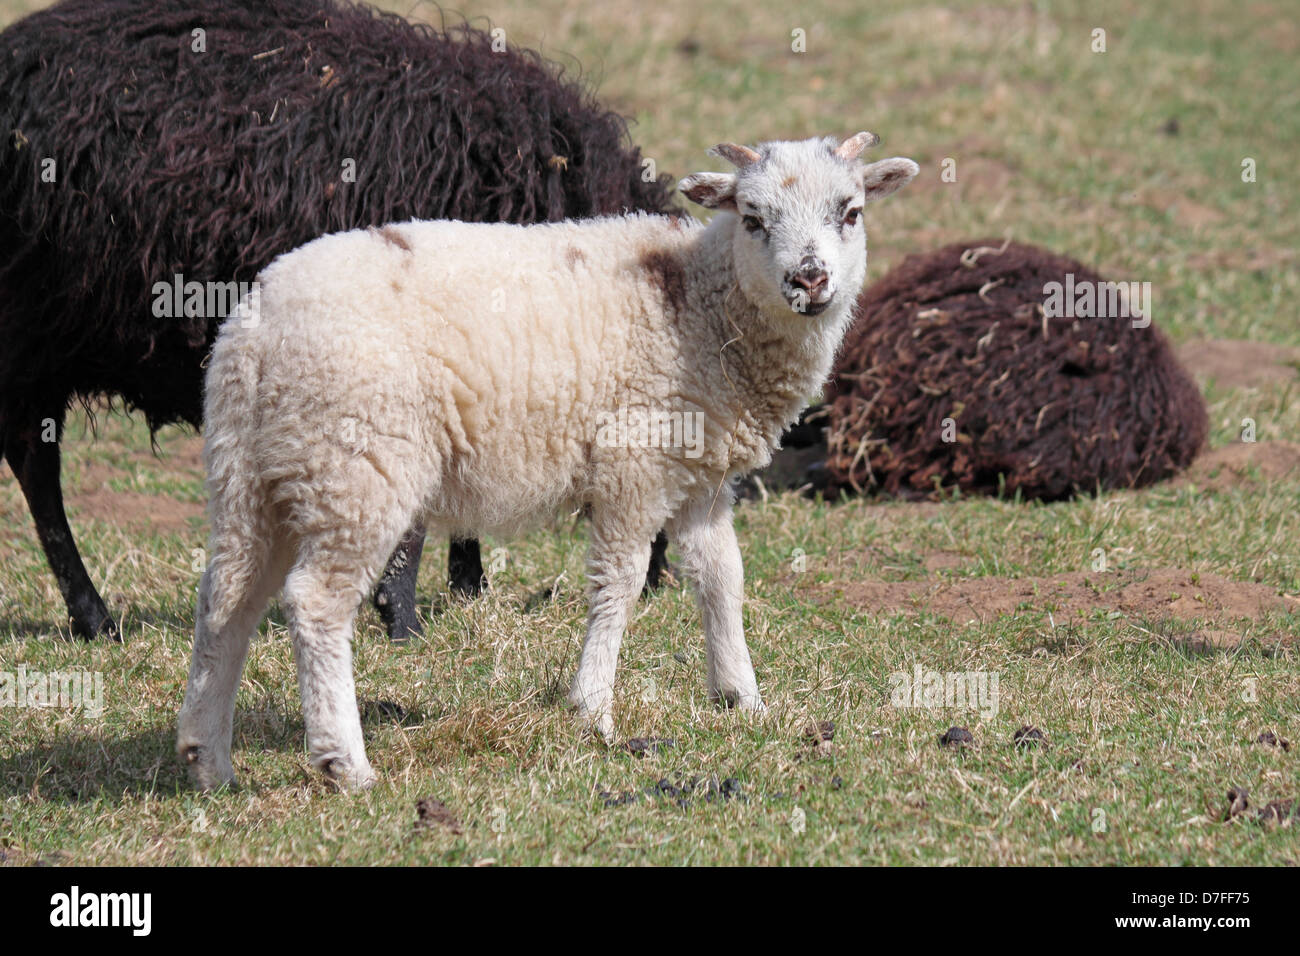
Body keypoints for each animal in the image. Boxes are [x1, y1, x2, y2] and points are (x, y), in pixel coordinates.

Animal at [0, 1, 670, 642]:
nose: (657, 582)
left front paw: (466, 585)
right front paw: (405, 618)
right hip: (31, 339)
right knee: (36, 467)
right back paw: (94, 618)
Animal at [178, 134, 920, 790]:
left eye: (850, 212)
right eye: (753, 218)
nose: (810, 280)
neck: (697, 303)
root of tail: (256, 326)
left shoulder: (700, 477)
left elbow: (722, 579)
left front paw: (742, 696)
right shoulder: (633, 464)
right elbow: (620, 583)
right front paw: (593, 707)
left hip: (254, 472)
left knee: (226, 600)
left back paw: (208, 759)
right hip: (357, 467)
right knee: (315, 603)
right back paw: (344, 763)